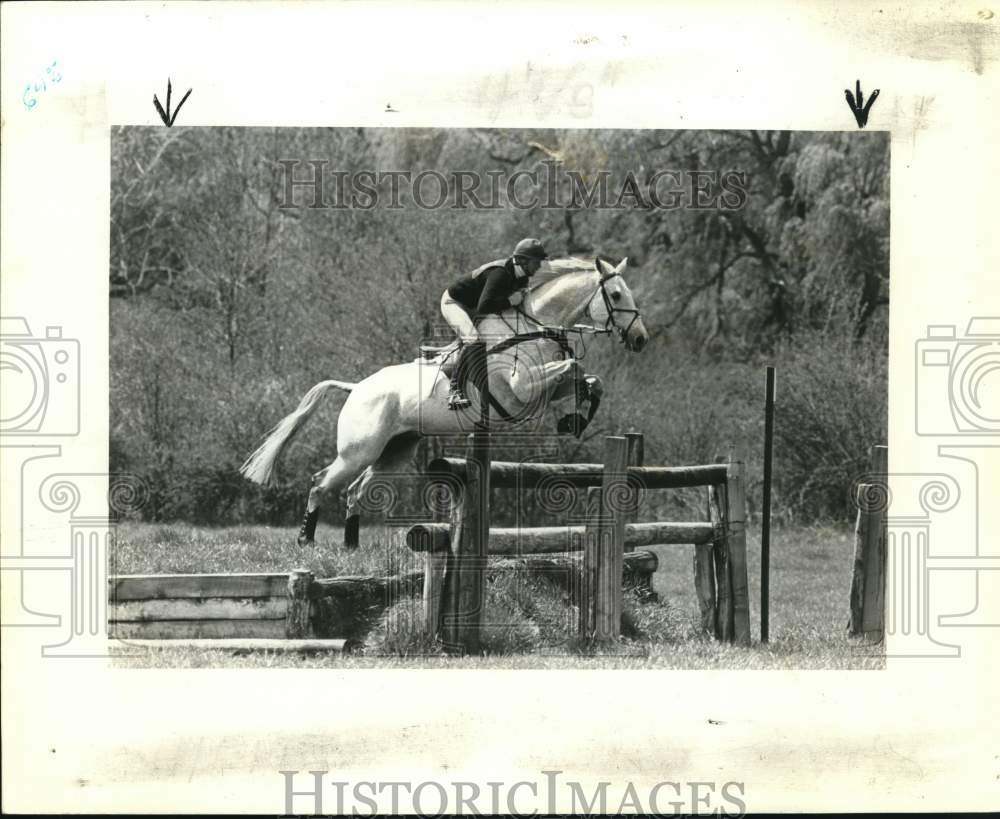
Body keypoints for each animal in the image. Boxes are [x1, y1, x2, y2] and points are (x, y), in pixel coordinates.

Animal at [241, 256, 648, 544]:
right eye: (615, 296)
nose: (641, 338)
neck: (534, 327)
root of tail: (356, 388)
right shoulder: (520, 390)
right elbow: (571, 366)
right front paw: (572, 418)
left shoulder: (542, 389)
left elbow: (590, 381)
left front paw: (574, 420)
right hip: (359, 450)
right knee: (320, 482)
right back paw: (306, 539)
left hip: (394, 452)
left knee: (354, 491)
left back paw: (351, 546)